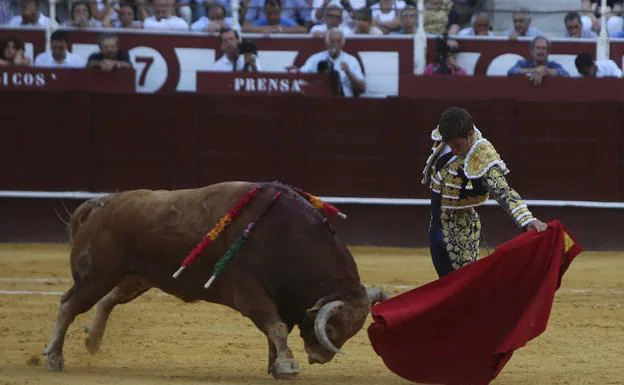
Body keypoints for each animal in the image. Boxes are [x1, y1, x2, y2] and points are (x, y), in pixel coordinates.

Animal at [44, 181, 386, 378]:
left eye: (350, 332)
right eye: (332, 329)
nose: (320, 358)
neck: (287, 234)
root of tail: (102, 204)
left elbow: (276, 329)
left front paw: (276, 366)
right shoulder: (250, 292)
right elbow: (275, 325)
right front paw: (287, 365)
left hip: (136, 278)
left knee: (107, 300)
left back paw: (92, 340)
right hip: (97, 275)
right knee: (70, 304)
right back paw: (54, 358)